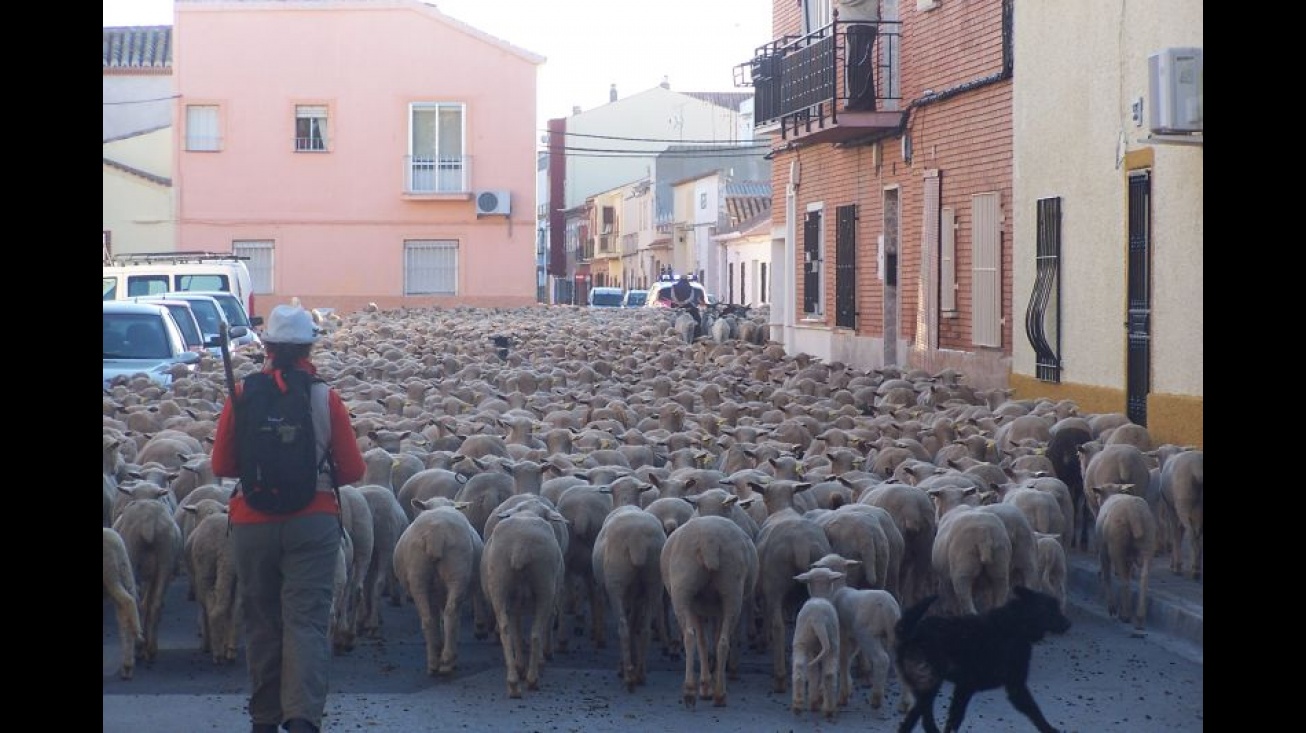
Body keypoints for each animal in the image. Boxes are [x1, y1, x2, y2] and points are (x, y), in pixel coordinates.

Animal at [394, 496, 488, 674]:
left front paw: (438, 646)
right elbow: (450, 618)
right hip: (457, 574)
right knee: (450, 614)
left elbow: (436, 617)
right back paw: (448, 660)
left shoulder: (434, 594)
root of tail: (434, 533)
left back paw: (433, 662)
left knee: (427, 618)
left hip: (418, 578)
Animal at [477, 501, 564, 695]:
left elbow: (516, 632)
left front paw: (520, 665)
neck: (528, 512)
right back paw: (532, 678)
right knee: (536, 632)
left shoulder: (514, 603)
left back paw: (513, 683)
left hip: (499, 587)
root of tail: (520, 547)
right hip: (544, 588)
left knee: (505, 630)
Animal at [663, 512, 757, 705]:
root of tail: (709, 540)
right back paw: (719, 693)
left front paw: (706, 685)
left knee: (689, 636)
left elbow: (703, 641)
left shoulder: (697, 608)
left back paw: (692, 690)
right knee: (722, 641)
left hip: (682, 592)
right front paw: (708, 683)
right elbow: (708, 640)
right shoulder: (709, 609)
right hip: (731, 592)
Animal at [898, 582, 1070, 731]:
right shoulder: (1015, 686)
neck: (1017, 623)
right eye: (1052, 610)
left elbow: (954, 719)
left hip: (926, 687)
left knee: (918, 719)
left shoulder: (964, 688)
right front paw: (1050, 729)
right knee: (918, 720)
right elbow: (1035, 712)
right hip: (929, 684)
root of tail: (911, 636)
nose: (1068, 624)